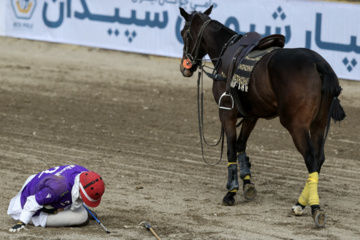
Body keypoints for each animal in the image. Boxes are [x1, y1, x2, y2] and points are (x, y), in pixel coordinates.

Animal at [179, 5, 344, 227]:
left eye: (183, 33)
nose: (185, 67)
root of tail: (318, 64)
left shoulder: (227, 112)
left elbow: (231, 150)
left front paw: (231, 192)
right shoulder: (251, 115)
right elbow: (241, 146)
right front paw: (247, 184)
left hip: (296, 126)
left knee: (311, 158)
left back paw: (315, 208)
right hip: (319, 124)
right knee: (319, 158)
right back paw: (300, 204)